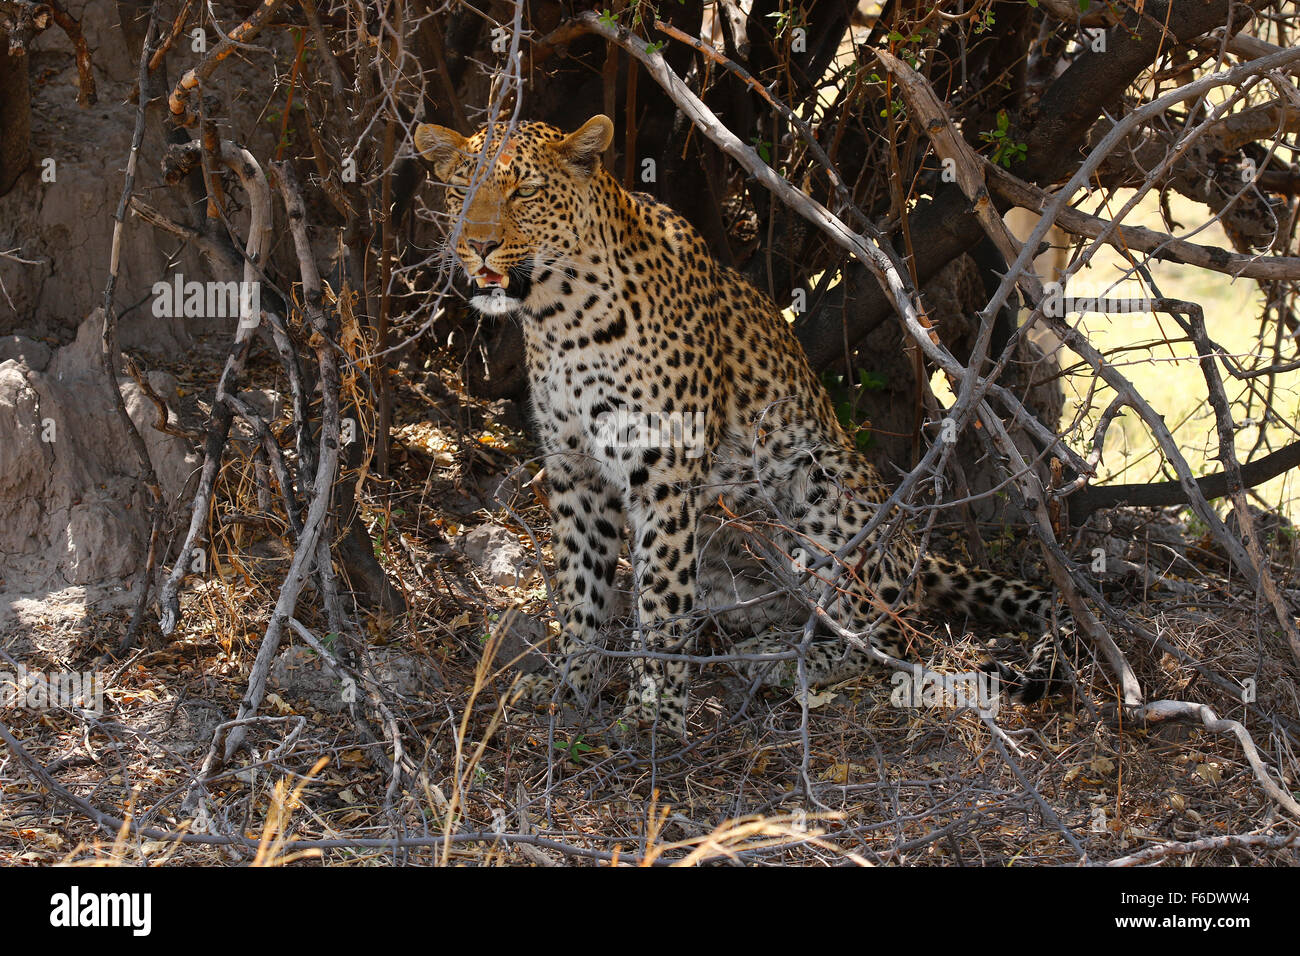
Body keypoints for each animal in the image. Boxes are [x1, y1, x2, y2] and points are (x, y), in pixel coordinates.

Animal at [415, 113, 1067, 738]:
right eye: (460, 191)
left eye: (525, 192)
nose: (477, 246)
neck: (558, 314)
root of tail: (910, 545)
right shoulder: (576, 471)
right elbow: (582, 586)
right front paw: (570, 684)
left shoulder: (664, 473)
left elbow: (660, 602)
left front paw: (654, 717)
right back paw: (762, 647)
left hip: (822, 485)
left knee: (890, 634)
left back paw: (789, 662)